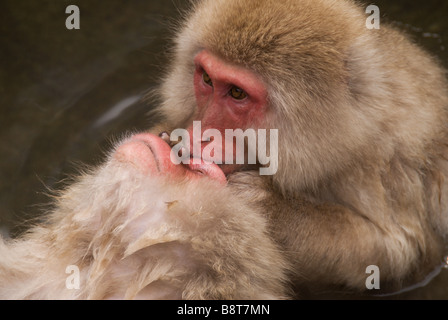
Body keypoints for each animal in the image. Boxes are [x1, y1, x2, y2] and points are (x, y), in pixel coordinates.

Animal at [150, 0, 448, 296]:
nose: (198, 136)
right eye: (207, 80)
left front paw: (271, 208)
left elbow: (400, 253)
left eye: (237, 93)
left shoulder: (383, 167)